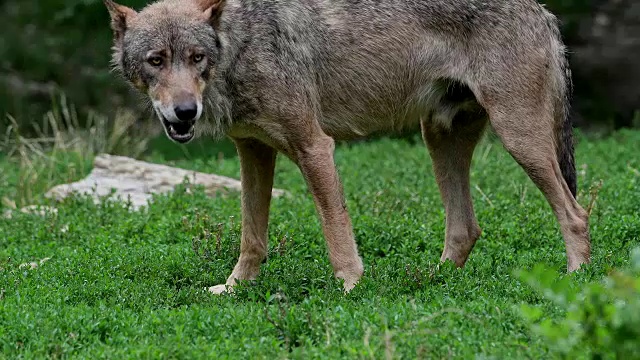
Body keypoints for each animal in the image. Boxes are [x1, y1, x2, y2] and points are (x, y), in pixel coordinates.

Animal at [104, 0, 592, 294]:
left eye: (197, 58)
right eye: (156, 61)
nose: (185, 111)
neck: (240, 45)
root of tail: (544, 11)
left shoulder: (314, 146)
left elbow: (336, 230)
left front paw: (352, 289)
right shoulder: (252, 152)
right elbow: (251, 236)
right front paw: (235, 288)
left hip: (519, 139)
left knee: (576, 214)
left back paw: (575, 283)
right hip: (438, 139)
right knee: (465, 230)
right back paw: (426, 282)